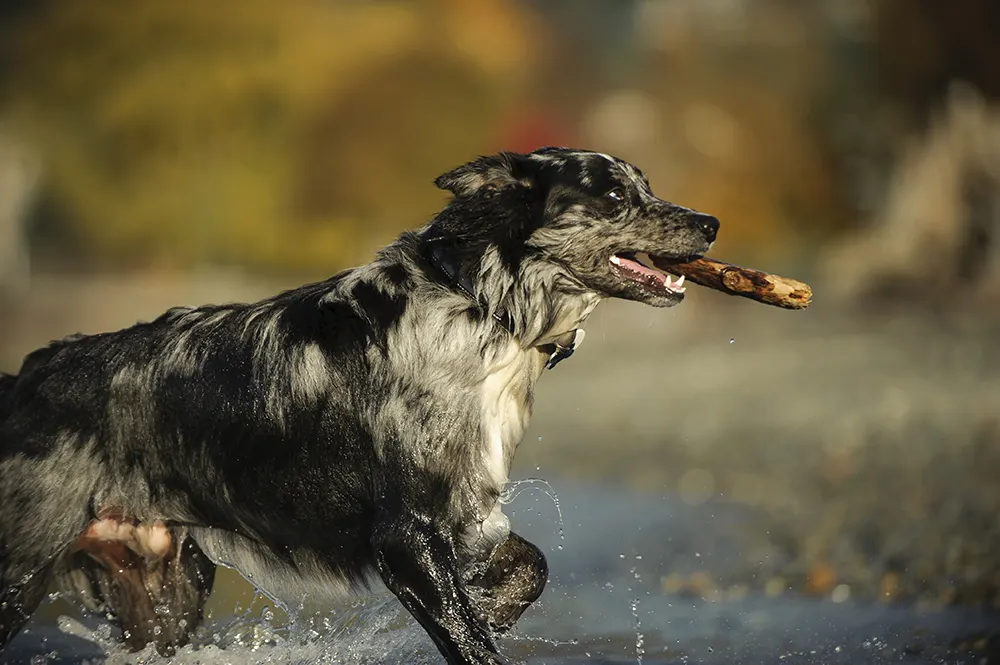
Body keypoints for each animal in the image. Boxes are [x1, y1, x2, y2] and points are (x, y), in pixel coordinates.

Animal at [0, 147, 720, 664]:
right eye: (615, 196)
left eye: (645, 185)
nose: (711, 222)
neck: (481, 306)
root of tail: (24, 377)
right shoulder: (404, 534)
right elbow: (470, 638)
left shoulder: (463, 508)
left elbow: (529, 569)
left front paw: (489, 598)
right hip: (20, 571)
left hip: (165, 589)